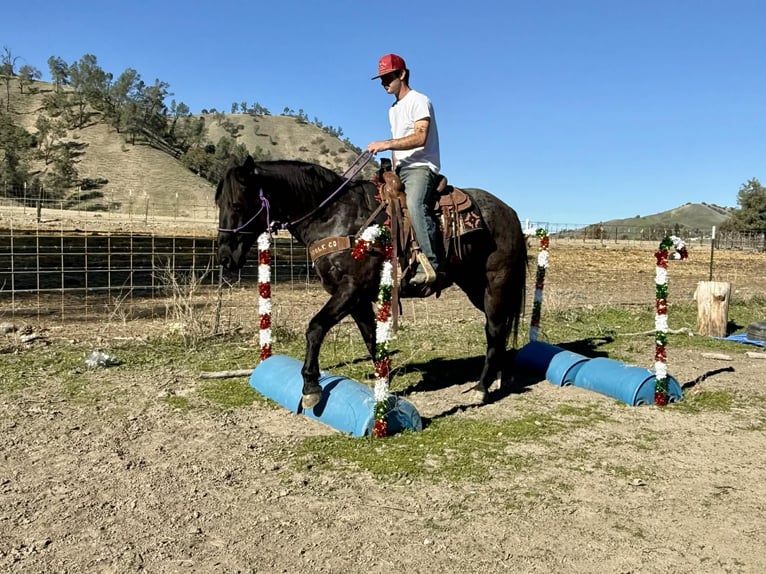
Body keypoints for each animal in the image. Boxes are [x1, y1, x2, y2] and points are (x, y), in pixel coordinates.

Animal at [216, 154, 527, 410]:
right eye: (218, 203)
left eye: (236, 203)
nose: (225, 256)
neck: (332, 216)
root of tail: (510, 212)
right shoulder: (356, 298)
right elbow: (370, 339)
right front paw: (383, 386)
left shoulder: (351, 289)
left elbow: (315, 328)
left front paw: (311, 387)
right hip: (476, 287)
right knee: (498, 329)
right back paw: (499, 377)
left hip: (496, 284)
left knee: (494, 330)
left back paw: (481, 388)